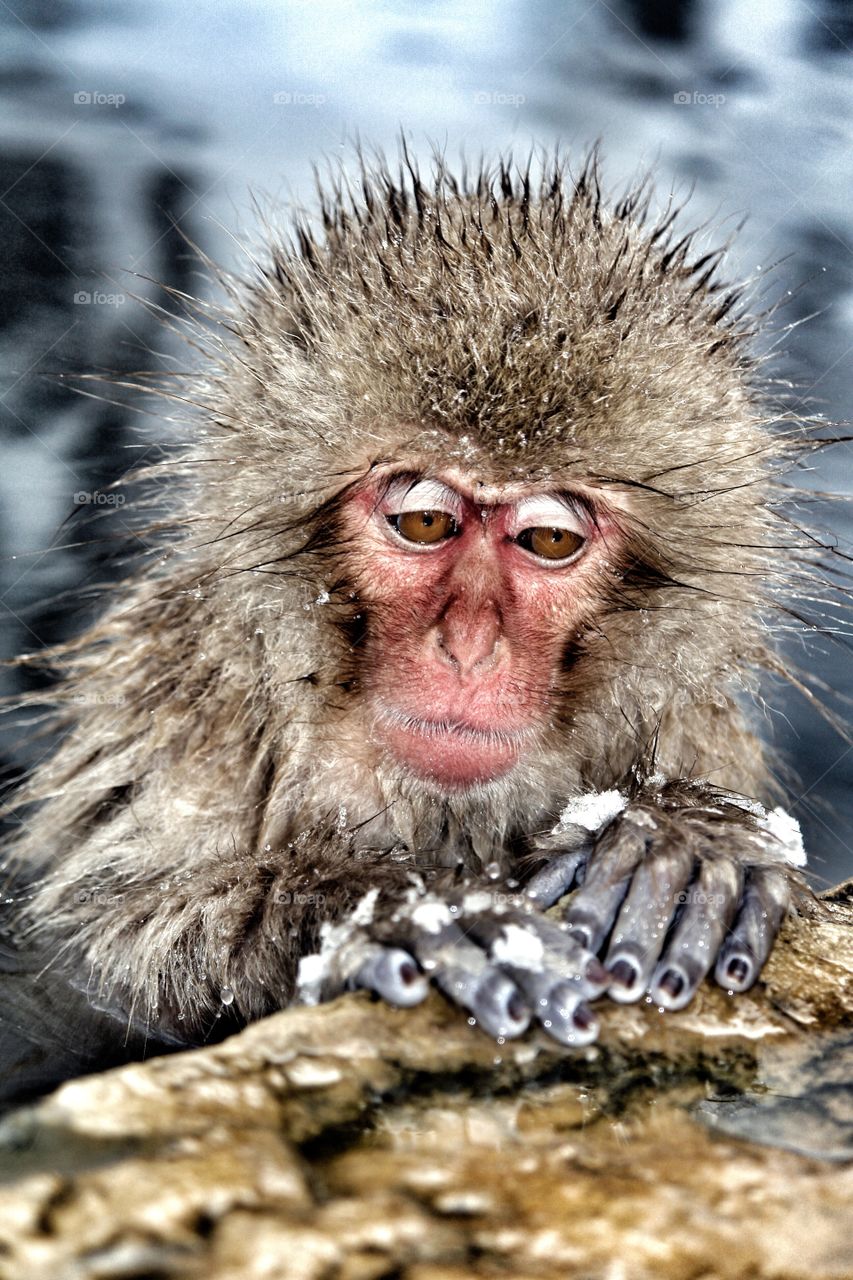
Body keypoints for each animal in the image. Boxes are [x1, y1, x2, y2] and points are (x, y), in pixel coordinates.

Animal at [1, 147, 809, 1090]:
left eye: (548, 537)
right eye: (423, 519)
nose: (467, 646)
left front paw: (679, 841)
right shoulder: (179, 706)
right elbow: (89, 957)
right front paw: (405, 911)